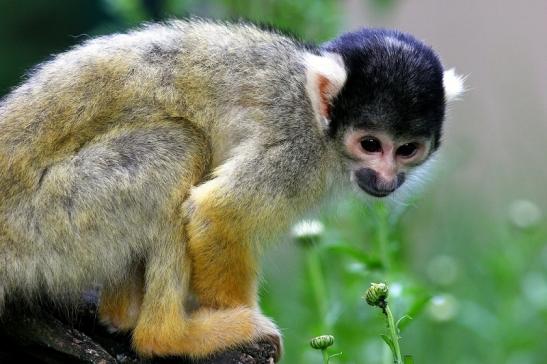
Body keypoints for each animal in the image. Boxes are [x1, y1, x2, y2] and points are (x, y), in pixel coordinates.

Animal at [0, 20, 462, 362]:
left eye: (406, 150)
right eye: (370, 144)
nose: (386, 179)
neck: (318, 119)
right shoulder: (296, 150)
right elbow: (216, 212)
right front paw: (239, 320)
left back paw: (121, 313)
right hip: (48, 224)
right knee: (177, 146)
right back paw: (167, 335)